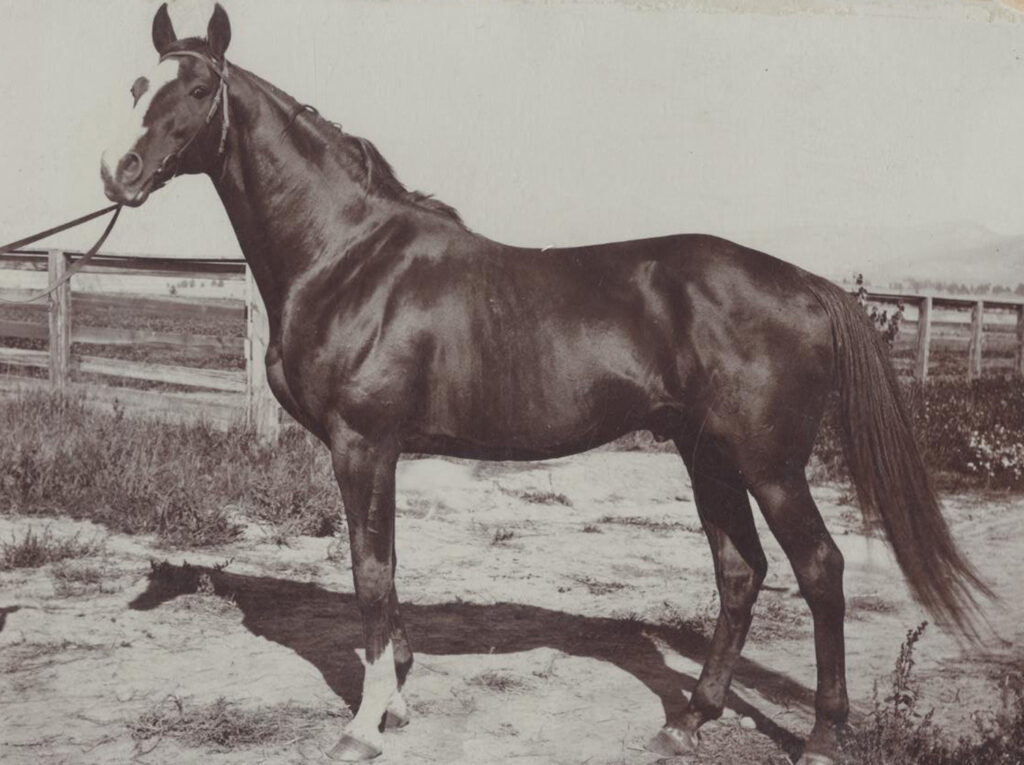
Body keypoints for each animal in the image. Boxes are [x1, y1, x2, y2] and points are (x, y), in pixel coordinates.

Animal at [97, 4, 991, 761]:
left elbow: (370, 570)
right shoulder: (375, 452)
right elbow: (385, 567)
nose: (118, 171)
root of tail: (809, 284)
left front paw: (365, 722)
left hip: (769, 463)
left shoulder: (362, 444)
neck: (349, 257)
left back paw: (820, 736)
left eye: (199, 88)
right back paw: (690, 718)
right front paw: (397, 701)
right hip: (706, 453)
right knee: (740, 572)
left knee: (820, 569)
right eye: (138, 86)